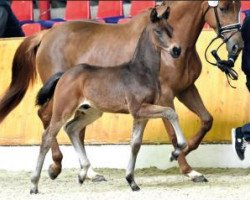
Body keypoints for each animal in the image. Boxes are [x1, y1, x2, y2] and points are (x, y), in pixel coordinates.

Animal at [30, 7, 186, 194]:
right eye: (158, 31)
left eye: (171, 29)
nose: (176, 50)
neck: (142, 71)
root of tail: (64, 74)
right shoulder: (139, 109)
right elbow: (171, 113)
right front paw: (176, 151)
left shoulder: (142, 114)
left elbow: (135, 144)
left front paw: (131, 181)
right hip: (63, 109)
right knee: (48, 136)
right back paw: (35, 184)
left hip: (92, 111)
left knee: (71, 128)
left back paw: (83, 173)